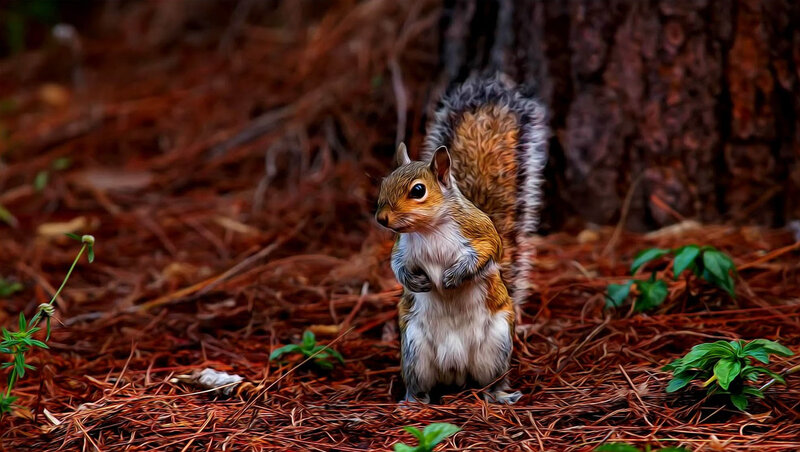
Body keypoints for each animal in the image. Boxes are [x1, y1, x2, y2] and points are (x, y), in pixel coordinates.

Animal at [375, 75, 548, 404]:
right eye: (383, 183)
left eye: (418, 190)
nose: (382, 219)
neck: (429, 229)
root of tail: (455, 369)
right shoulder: (403, 248)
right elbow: (396, 266)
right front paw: (415, 281)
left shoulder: (480, 232)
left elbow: (489, 252)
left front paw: (454, 277)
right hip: (414, 350)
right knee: (420, 382)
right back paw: (413, 402)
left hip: (496, 346)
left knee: (491, 380)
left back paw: (499, 395)